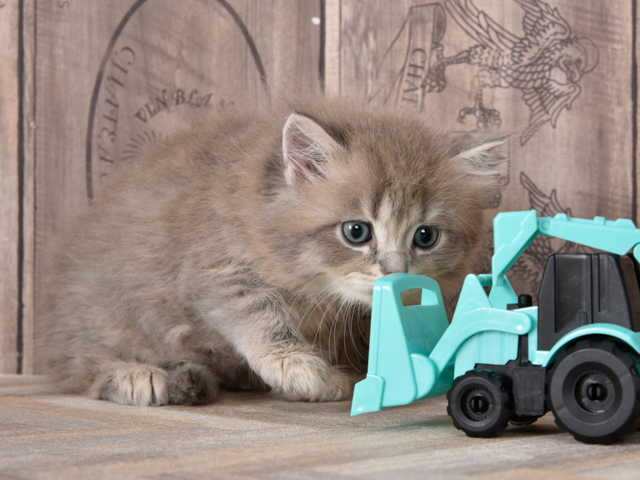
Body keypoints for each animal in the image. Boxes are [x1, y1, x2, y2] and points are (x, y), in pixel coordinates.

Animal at [41, 97, 506, 406]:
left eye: (425, 237)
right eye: (356, 232)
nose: (395, 271)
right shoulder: (215, 268)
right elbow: (260, 317)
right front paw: (298, 368)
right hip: (104, 313)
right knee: (79, 367)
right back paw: (137, 375)